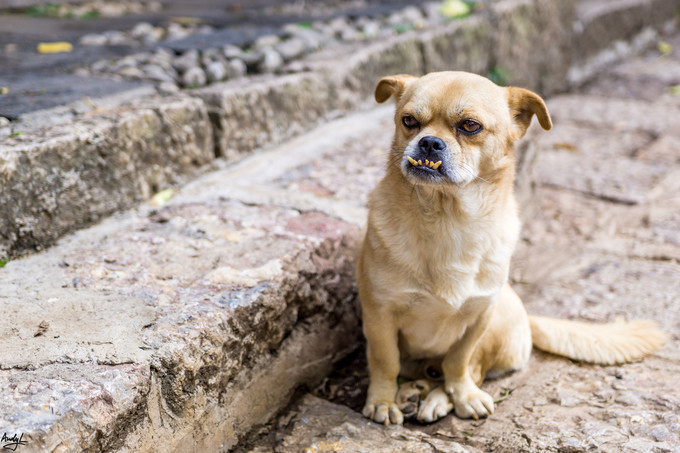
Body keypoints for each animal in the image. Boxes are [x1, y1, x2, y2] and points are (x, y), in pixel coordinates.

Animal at [358, 70, 668, 424]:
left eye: (470, 126)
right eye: (408, 121)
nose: (429, 142)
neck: (447, 219)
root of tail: (527, 317)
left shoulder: (479, 317)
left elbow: (459, 363)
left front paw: (462, 395)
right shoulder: (379, 316)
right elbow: (386, 362)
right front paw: (383, 401)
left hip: (496, 323)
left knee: (470, 369)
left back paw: (438, 398)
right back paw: (414, 392)